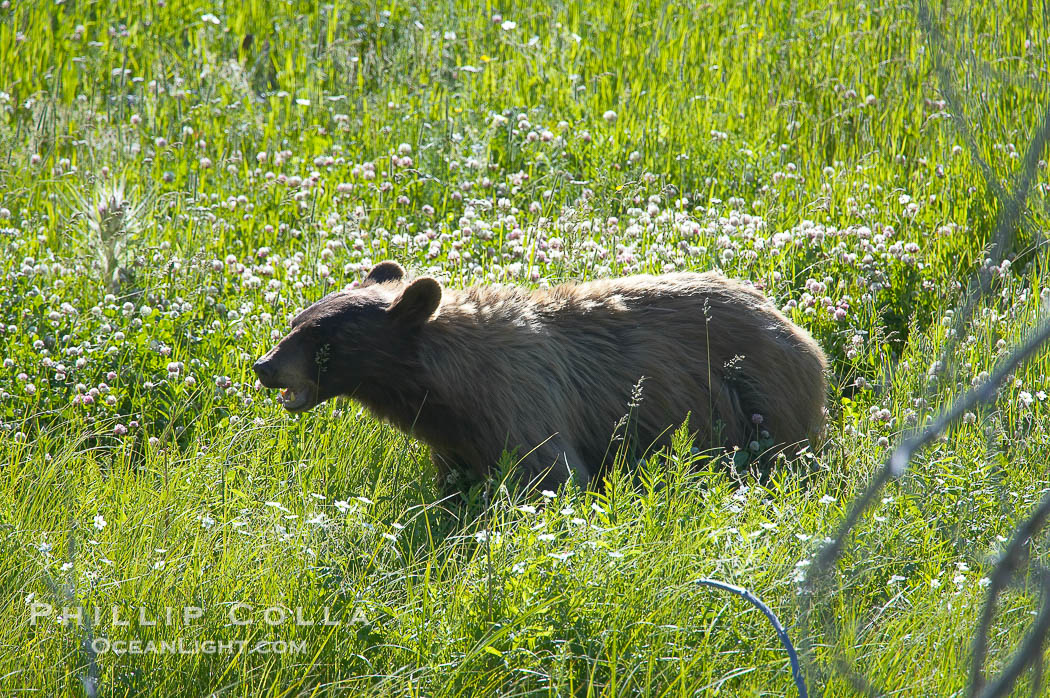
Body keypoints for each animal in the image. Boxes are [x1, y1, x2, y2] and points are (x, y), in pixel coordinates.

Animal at [253, 261, 828, 492]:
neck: (445, 386)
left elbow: (551, 473)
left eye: (321, 338)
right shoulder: (453, 435)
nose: (264, 367)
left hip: (765, 396)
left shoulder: (520, 401)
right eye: (296, 321)